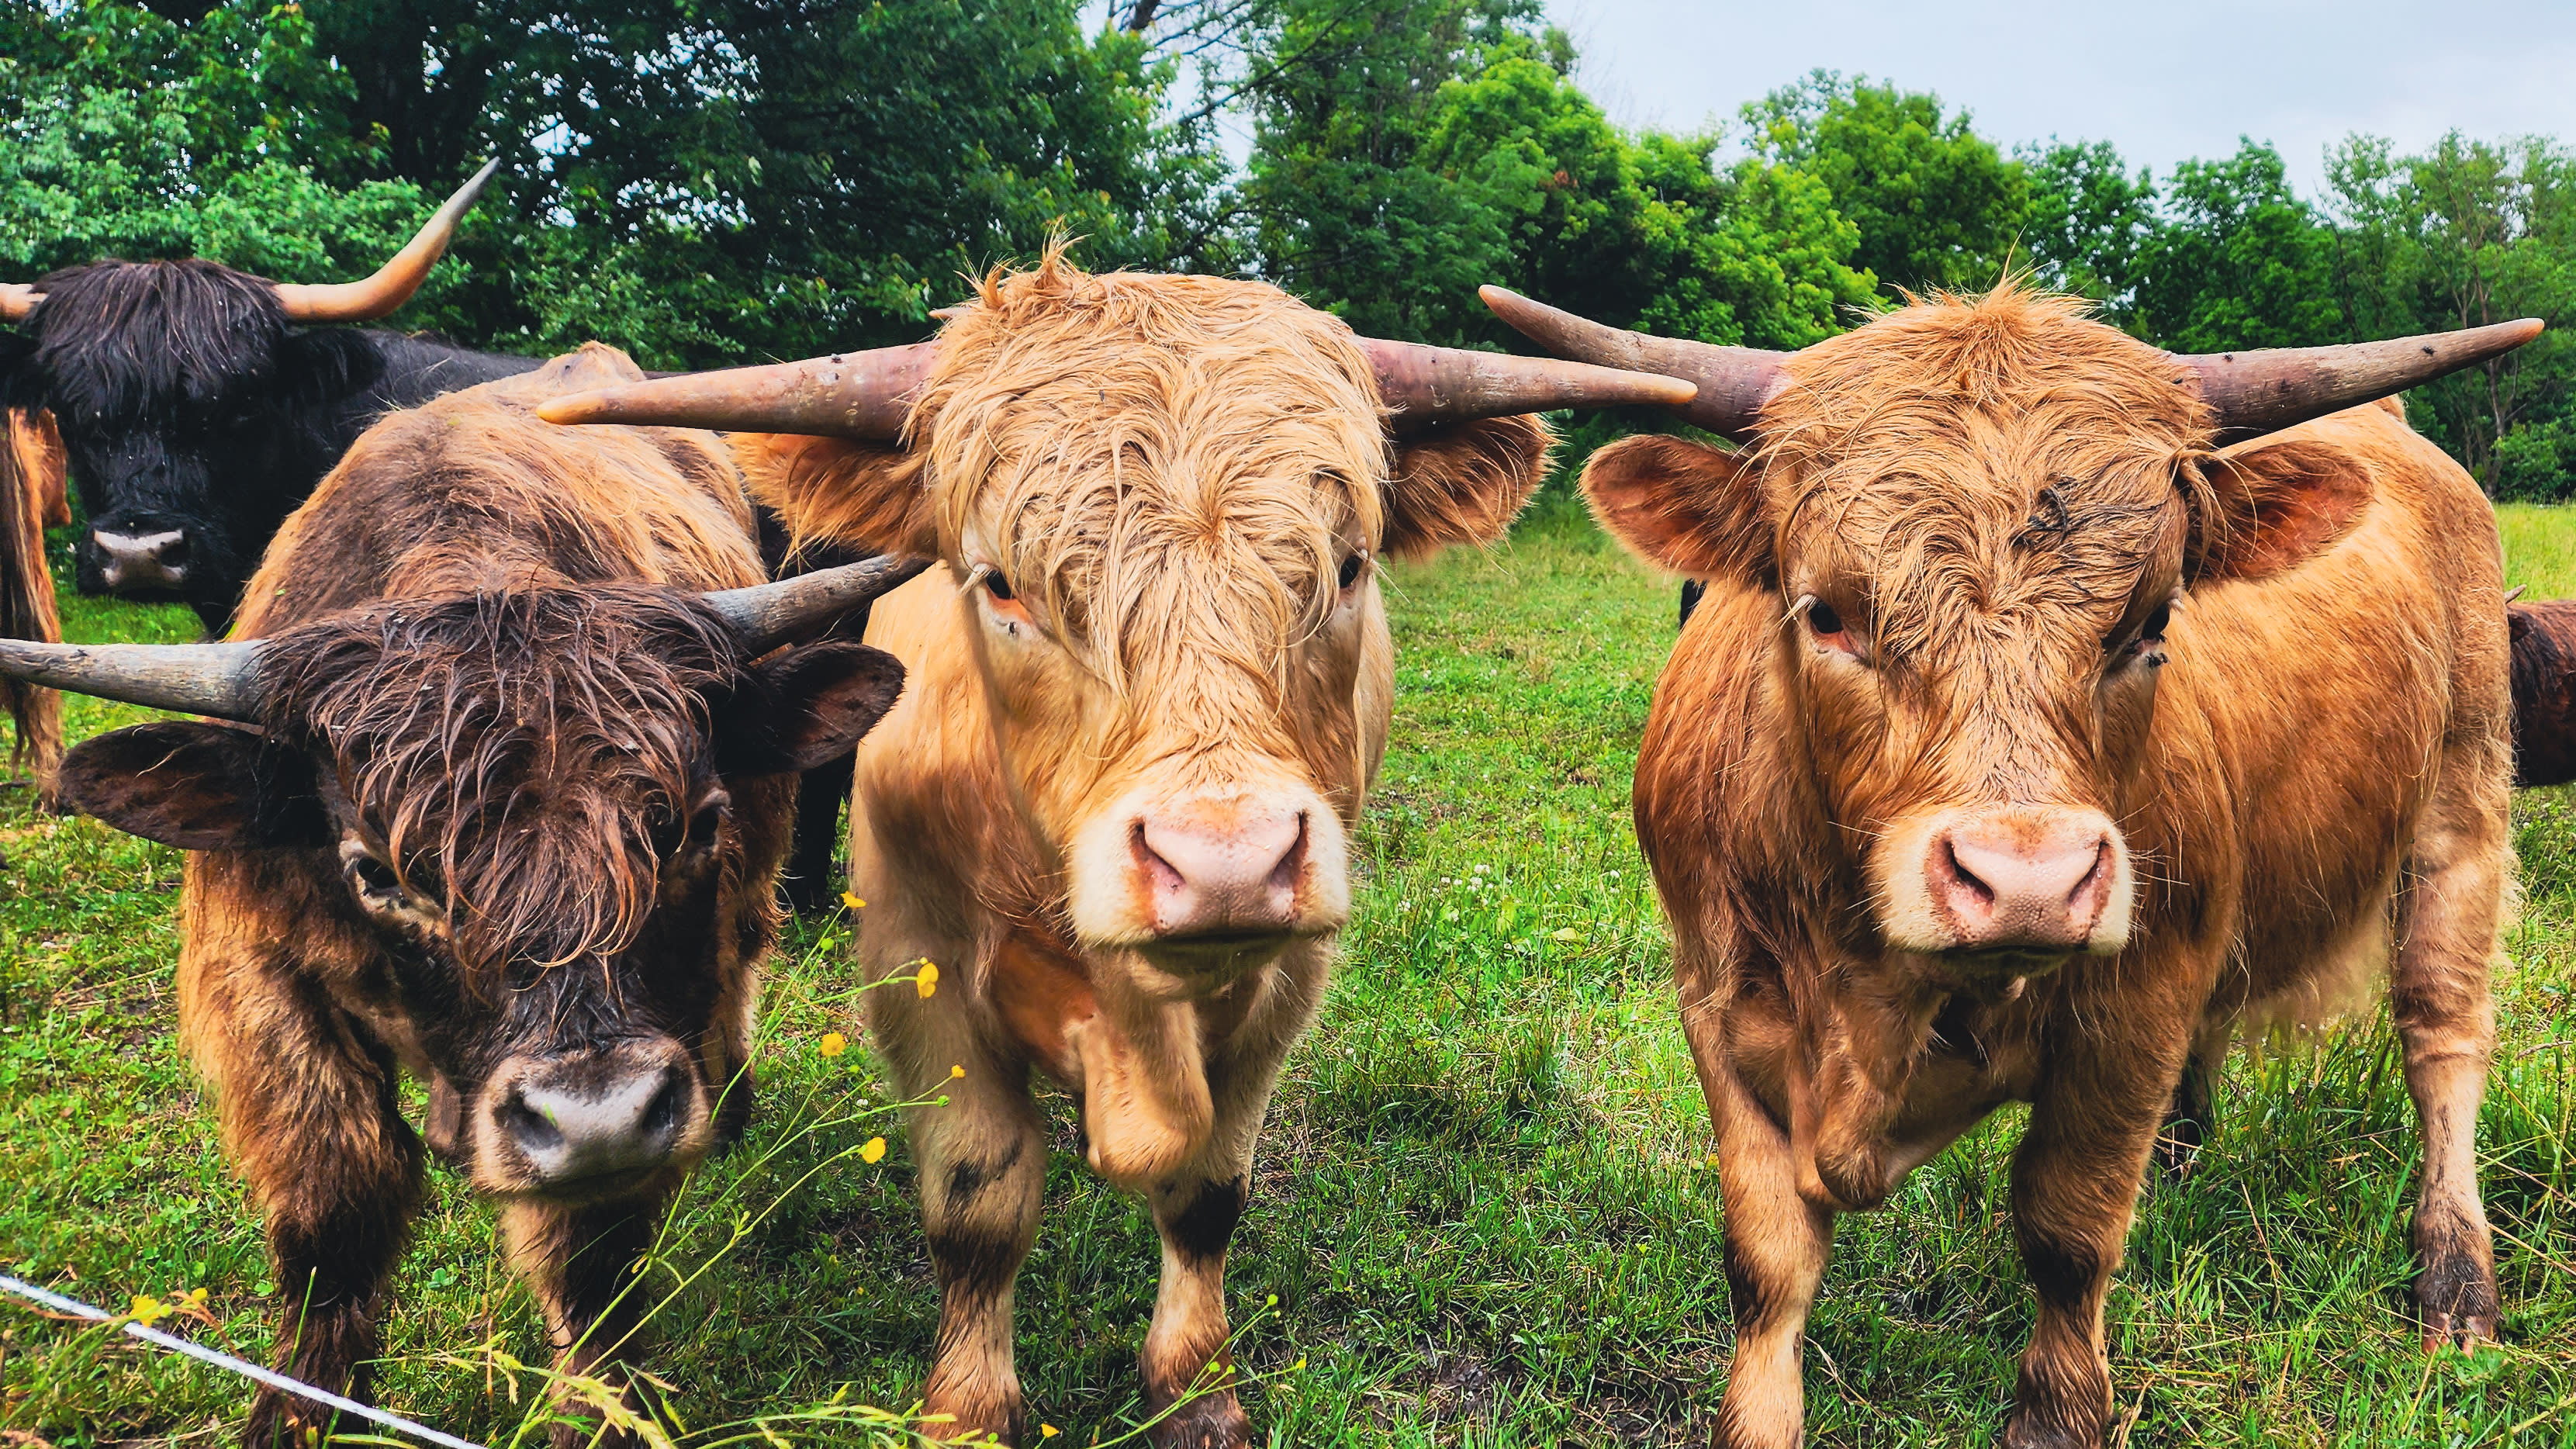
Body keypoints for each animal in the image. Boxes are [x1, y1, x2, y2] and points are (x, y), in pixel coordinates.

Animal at [0, 346, 920, 1447]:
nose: (599, 1116)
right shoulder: (259, 985)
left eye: (693, 825)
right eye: (376, 871)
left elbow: (591, 1268)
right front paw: (298, 1410)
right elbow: (337, 1215)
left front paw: (606, 1410)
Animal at [537, 251, 1698, 1446]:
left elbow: (1207, 1194)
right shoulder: (917, 963)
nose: (1225, 863)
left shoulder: (1287, 978)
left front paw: (1193, 1386)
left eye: (1348, 565)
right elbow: (980, 1200)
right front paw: (969, 1407)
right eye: (1001, 581)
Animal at [1482, 281, 2538, 1447]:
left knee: (2442, 1040)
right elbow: (1766, 1262)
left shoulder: (2132, 1015)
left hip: (2464, 808)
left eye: (2150, 620)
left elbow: (2067, 1234)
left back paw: (2456, 1284)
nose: (2027, 881)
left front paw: (2058, 1412)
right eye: (1827, 612)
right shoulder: (1716, 1001)